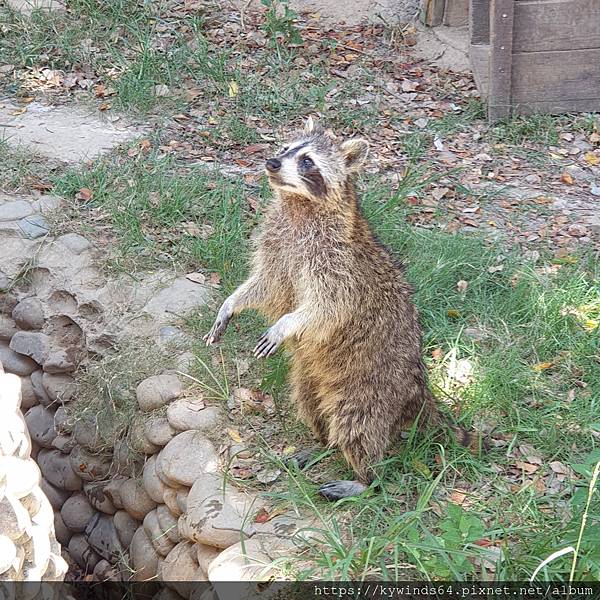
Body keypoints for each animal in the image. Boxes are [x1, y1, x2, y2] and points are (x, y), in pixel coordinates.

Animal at [206, 118, 478, 502]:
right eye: (285, 148)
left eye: (307, 161)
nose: (272, 162)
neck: (298, 205)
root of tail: (419, 386)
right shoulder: (278, 245)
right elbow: (266, 283)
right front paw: (232, 302)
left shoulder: (339, 264)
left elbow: (326, 306)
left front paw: (286, 323)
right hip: (310, 377)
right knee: (313, 406)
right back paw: (323, 443)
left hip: (373, 386)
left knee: (357, 426)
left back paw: (366, 478)